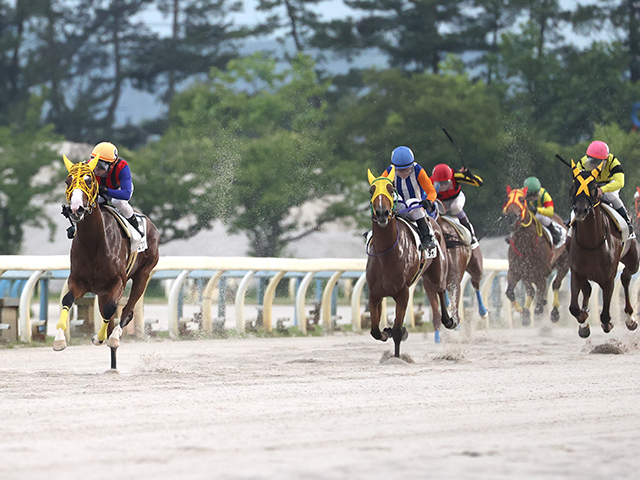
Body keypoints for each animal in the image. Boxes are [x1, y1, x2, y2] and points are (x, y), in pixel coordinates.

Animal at [53, 154, 161, 368]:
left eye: (89, 181)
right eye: (68, 181)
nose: (76, 209)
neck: (94, 242)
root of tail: (151, 224)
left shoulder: (117, 281)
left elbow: (112, 310)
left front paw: (101, 337)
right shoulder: (78, 280)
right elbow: (67, 299)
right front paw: (59, 339)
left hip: (143, 274)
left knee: (127, 311)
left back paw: (114, 338)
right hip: (102, 291)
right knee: (107, 314)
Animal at [364, 167, 456, 358]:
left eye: (391, 189)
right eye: (371, 190)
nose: (382, 213)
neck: (386, 253)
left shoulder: (403, 292)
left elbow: (398, 331)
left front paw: (397, 356)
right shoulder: (375, 293)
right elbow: (375, 331)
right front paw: (386, 331)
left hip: (437, 270)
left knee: (441, 289)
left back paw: (449, 320)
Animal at [422, 201, 488, 344]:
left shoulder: (454, 279)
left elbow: (455, 300)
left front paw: (455, 322)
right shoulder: (428, 283)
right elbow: (436, 311)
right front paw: (437, 336)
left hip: (476, 267)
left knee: (476, 283)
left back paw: (483, 311)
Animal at [502, 186, 568, 324]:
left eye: (522, 200)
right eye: (507, 198)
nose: (511, 216)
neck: (526, 245)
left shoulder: (541, 273)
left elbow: (539, 294)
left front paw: (535, 309)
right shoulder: (518, 271)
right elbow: (511, 292)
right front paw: (524, 313)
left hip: (564, 264)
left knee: (555, 284)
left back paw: (554, 312)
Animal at [568, 159, 636, 336]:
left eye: (593, 187)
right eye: (574, 185)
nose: (581, 209)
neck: (591, 243)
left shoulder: (608, 278)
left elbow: (605, 315)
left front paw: (608, 323)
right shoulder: (576, 272)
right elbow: (574, 308)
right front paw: (584, 322)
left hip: (633, 259)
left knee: (626, 278)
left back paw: (630, 319)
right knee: (587, 290)